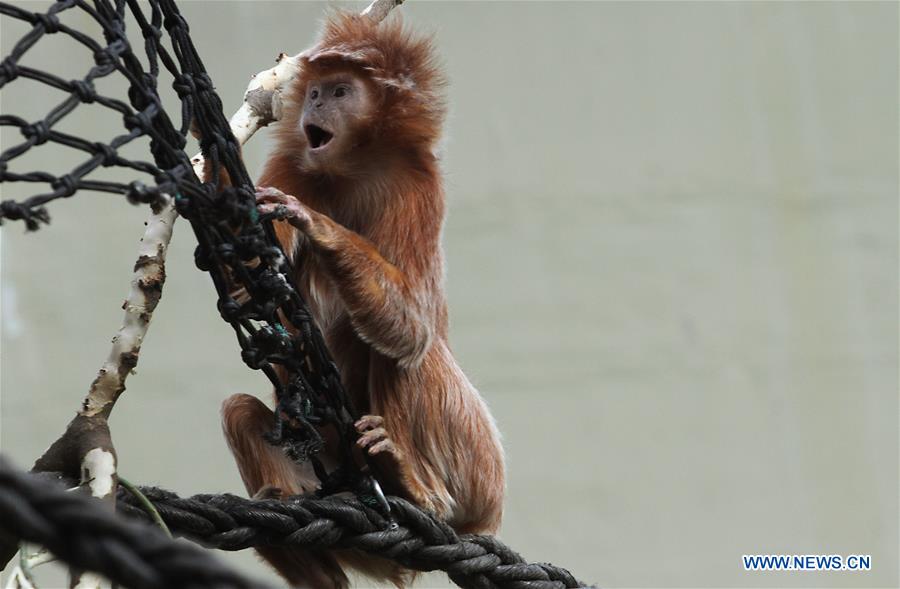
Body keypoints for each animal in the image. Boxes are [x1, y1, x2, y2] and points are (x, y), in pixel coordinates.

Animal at [221, 10, 506, 588]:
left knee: (409, 351)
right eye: (316, 91)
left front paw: (319, 227)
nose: (315, 103)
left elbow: (414, 326)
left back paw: (416, 487)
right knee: (239, 410)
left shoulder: (418, 186)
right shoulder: (292, 168)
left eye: (340, 91)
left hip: (481, 470)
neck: (350, 167)